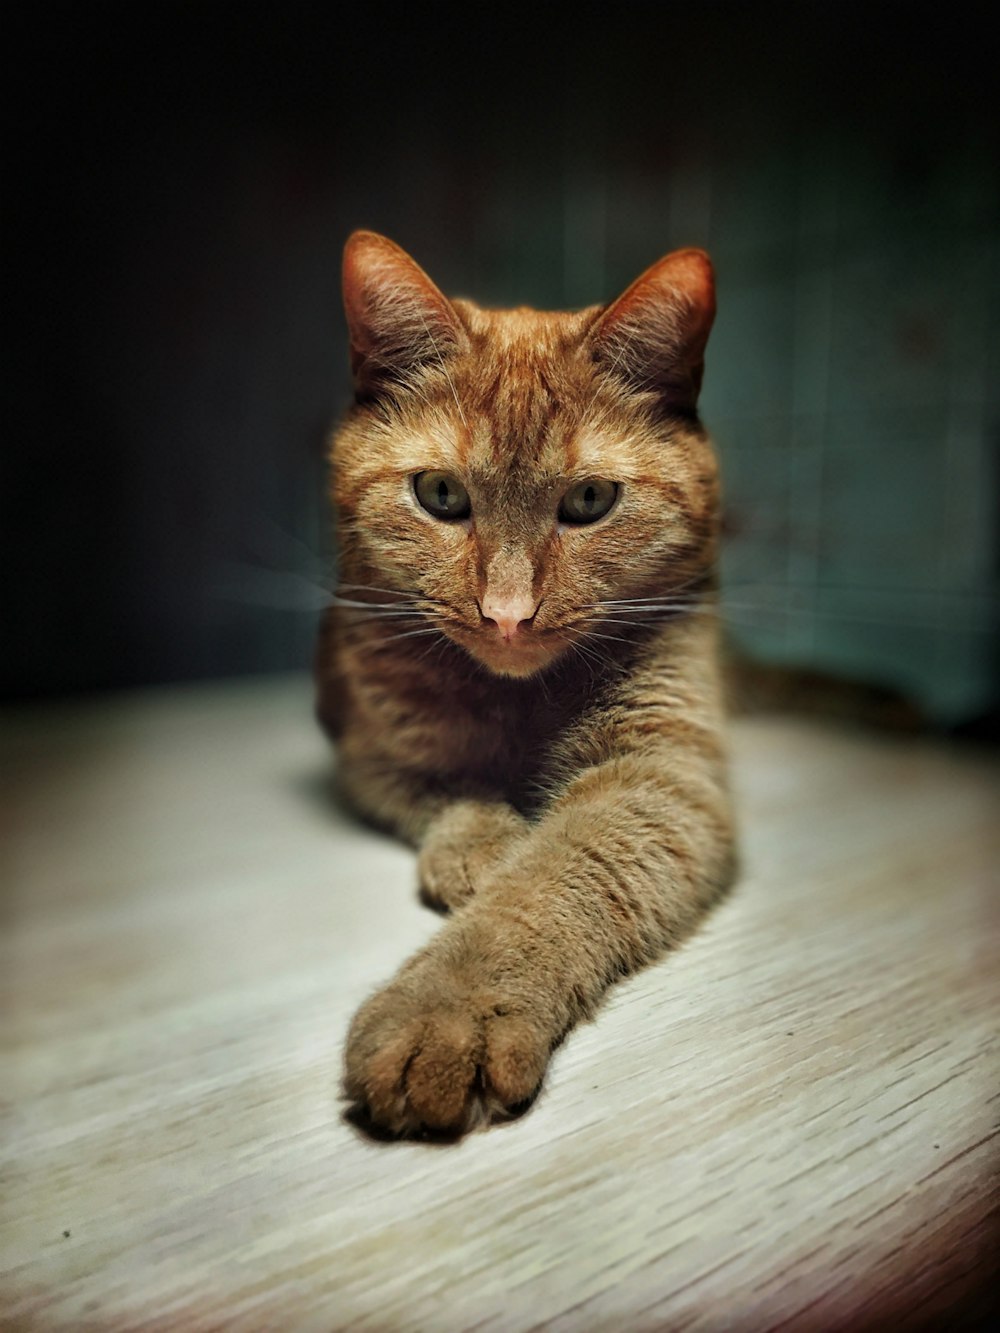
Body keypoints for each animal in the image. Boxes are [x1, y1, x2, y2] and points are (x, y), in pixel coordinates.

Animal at [318, 231, 736, 1135]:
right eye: (440, 493)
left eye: (591, 498)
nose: (507, 614)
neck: (517, 699)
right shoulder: (373, 756)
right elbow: (452, 792)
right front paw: (485, 847)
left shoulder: (662, 775)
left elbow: (552, 877)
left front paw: (449, 1008)